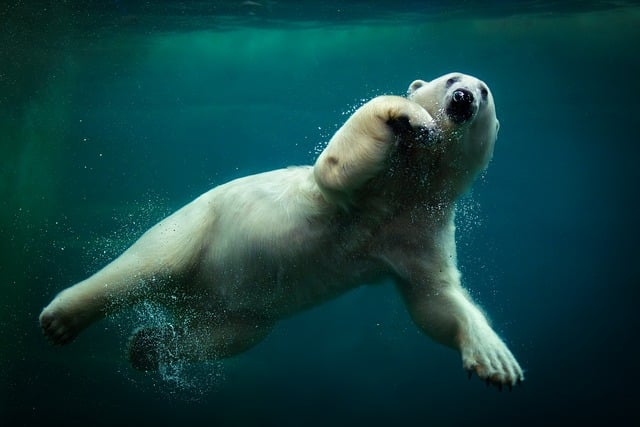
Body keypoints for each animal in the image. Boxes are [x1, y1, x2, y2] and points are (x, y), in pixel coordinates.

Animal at [39, 72, 524, 388]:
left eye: (484, 92)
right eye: (450, 79)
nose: (463, 98)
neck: (404, 189)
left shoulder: (419, 229)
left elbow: (434, 297)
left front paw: (498, 361)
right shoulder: (361, 194)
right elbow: (336, 166)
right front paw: (406, 113)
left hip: (242, 313)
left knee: (220, 337)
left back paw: (146, 346)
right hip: (196, 226)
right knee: (143, 265)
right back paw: (62, 319)